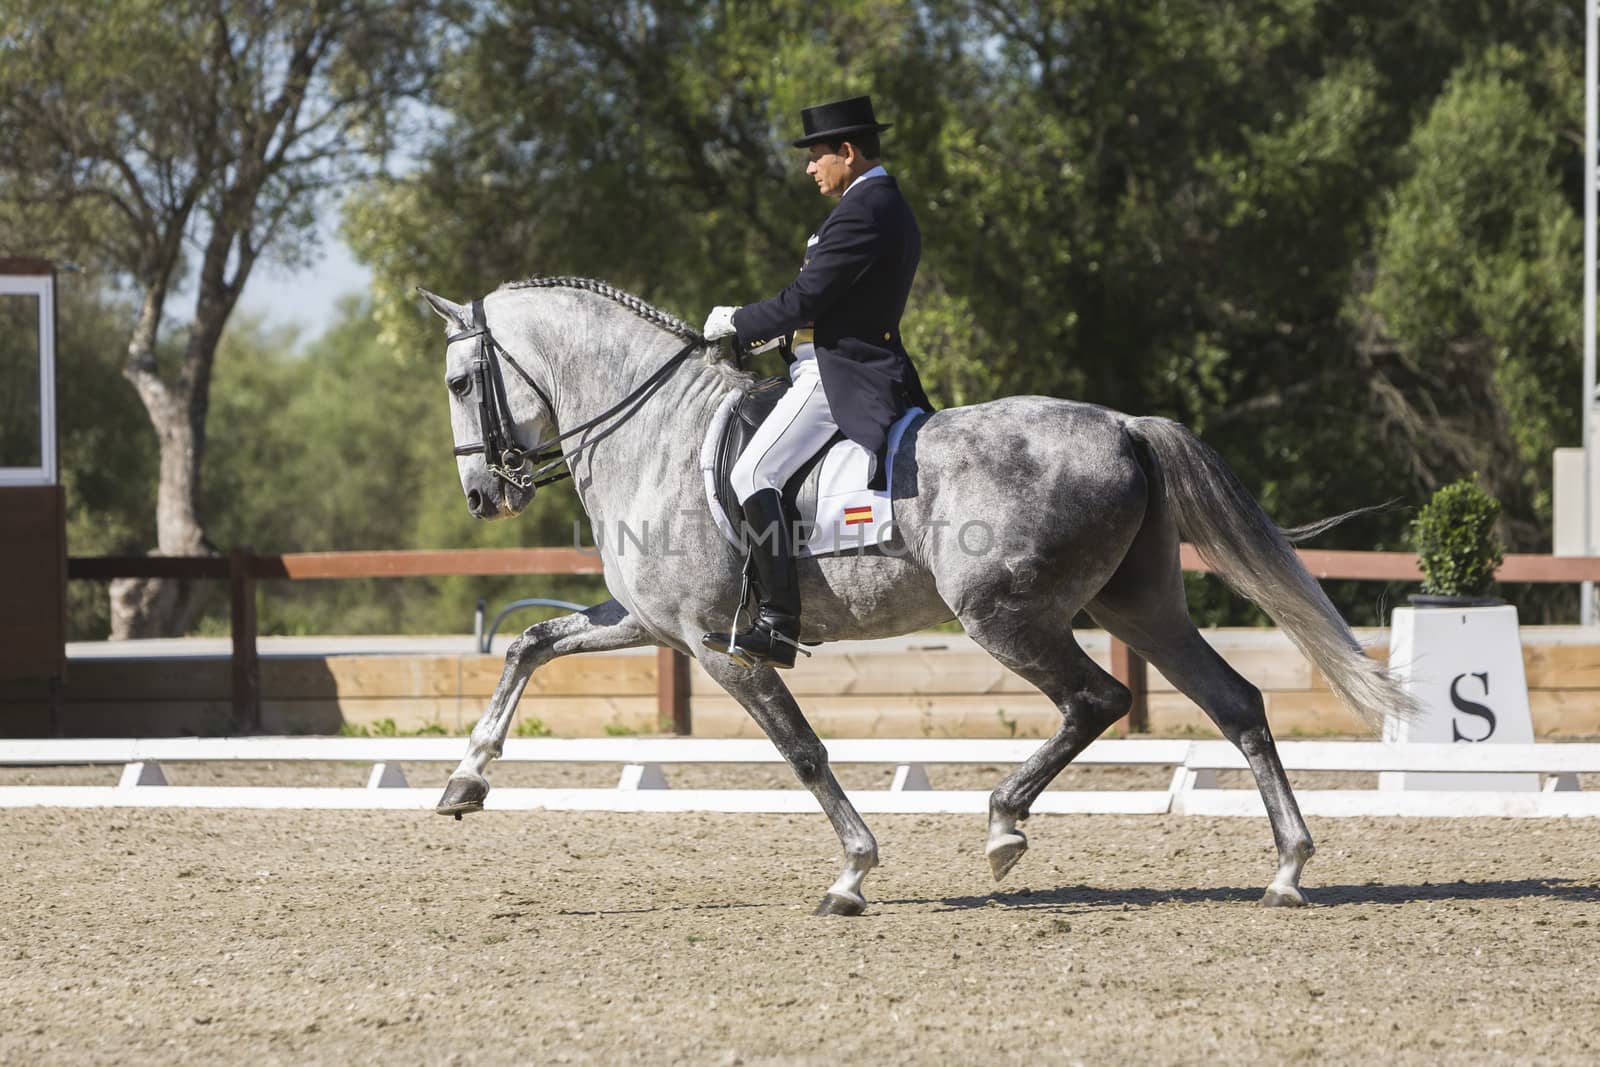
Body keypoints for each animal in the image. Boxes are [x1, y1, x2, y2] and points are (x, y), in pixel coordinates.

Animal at [416, 278, 1414, 921]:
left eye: (462, 382)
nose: (482, 496)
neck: (652, 432)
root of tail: (1125, 425)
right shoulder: (651, 624)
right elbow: (532, 644)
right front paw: (464, 781)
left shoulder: (719, 645)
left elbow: (804, 751)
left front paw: (852, 875)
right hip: (1142, 607)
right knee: (1234, 702)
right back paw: (1286, 870)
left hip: (1005, 614)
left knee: (1098, 697)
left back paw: (1005, 824)